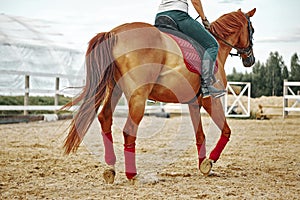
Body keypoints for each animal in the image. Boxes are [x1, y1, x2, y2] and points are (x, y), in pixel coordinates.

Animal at [62, 7, 255, 183]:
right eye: (251, 29)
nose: (250, 60)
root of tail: (114, 33)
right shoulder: (211, 101)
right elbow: (226, 131)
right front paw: (210, 161)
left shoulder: (194, 102)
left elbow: (200, 135)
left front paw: (203, 165)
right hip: (138, 96)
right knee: (129, 130)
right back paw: (132, 174)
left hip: (115, 89)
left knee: (105, 117)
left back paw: (111, 167)